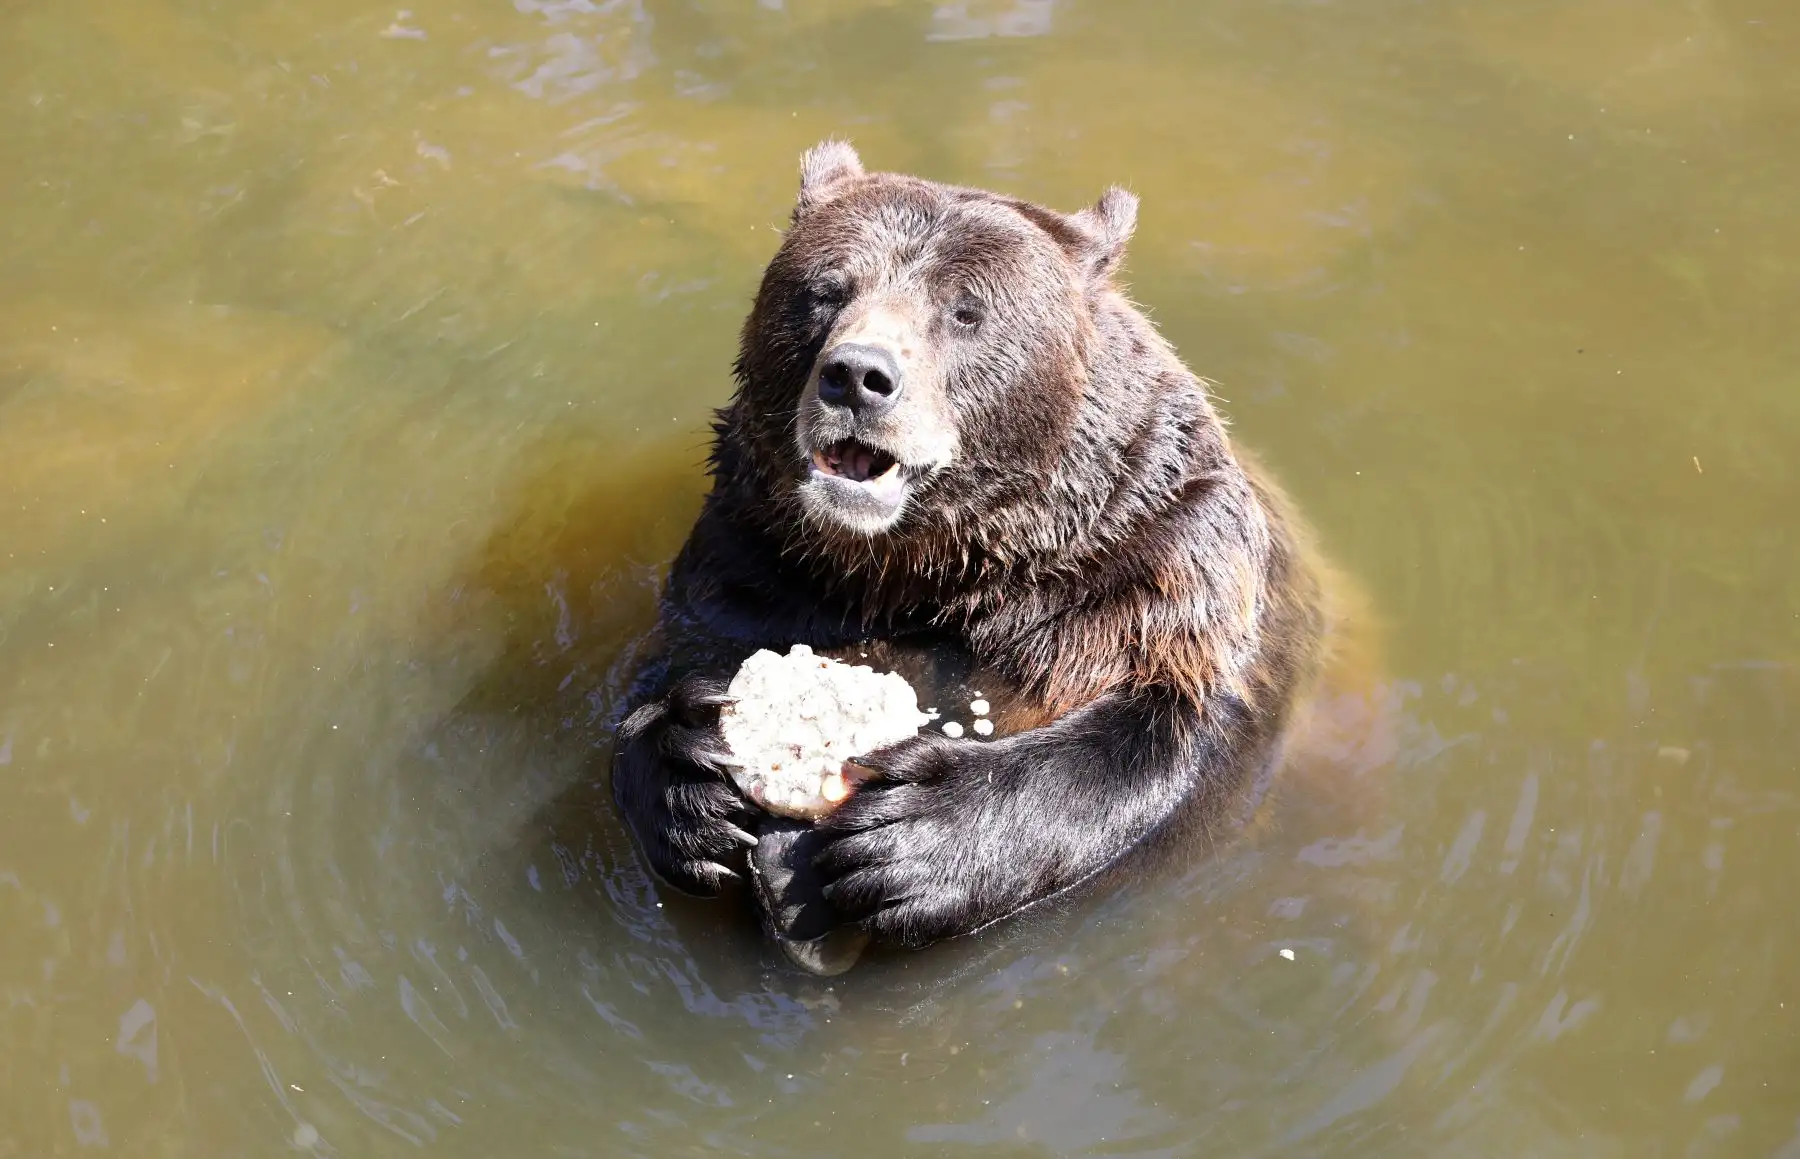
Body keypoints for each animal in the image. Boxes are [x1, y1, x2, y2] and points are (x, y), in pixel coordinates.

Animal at [611, 140, 1331, 963]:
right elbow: (661, 681)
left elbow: (1177, 730)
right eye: (825, 289)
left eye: (967, 311)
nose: (857, 376)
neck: (937, 562)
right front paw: (694, 775)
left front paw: (906, 842)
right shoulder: (752, 561)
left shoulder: (1162, 560)